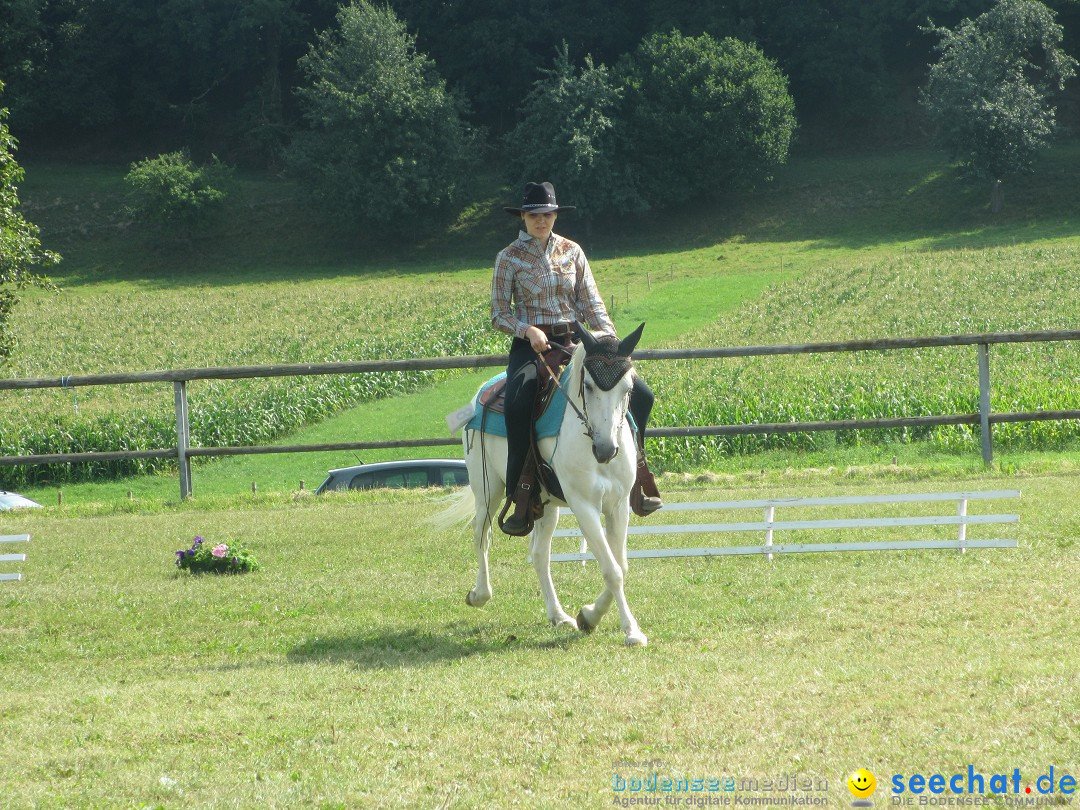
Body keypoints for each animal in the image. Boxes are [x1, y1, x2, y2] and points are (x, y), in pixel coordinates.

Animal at [434, 324, 643, 648]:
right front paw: (631, 631)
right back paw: (479, 594)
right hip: (487, 488)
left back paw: (558, 615)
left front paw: (588, 615)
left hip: (544, 505)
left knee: (540, 555)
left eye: (629, 388)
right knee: (482, 534)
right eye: (589, 386)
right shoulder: (584, 506)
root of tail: (481, 393)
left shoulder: (618, 505)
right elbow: (612, 570)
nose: (606, 449)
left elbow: (621, 564)